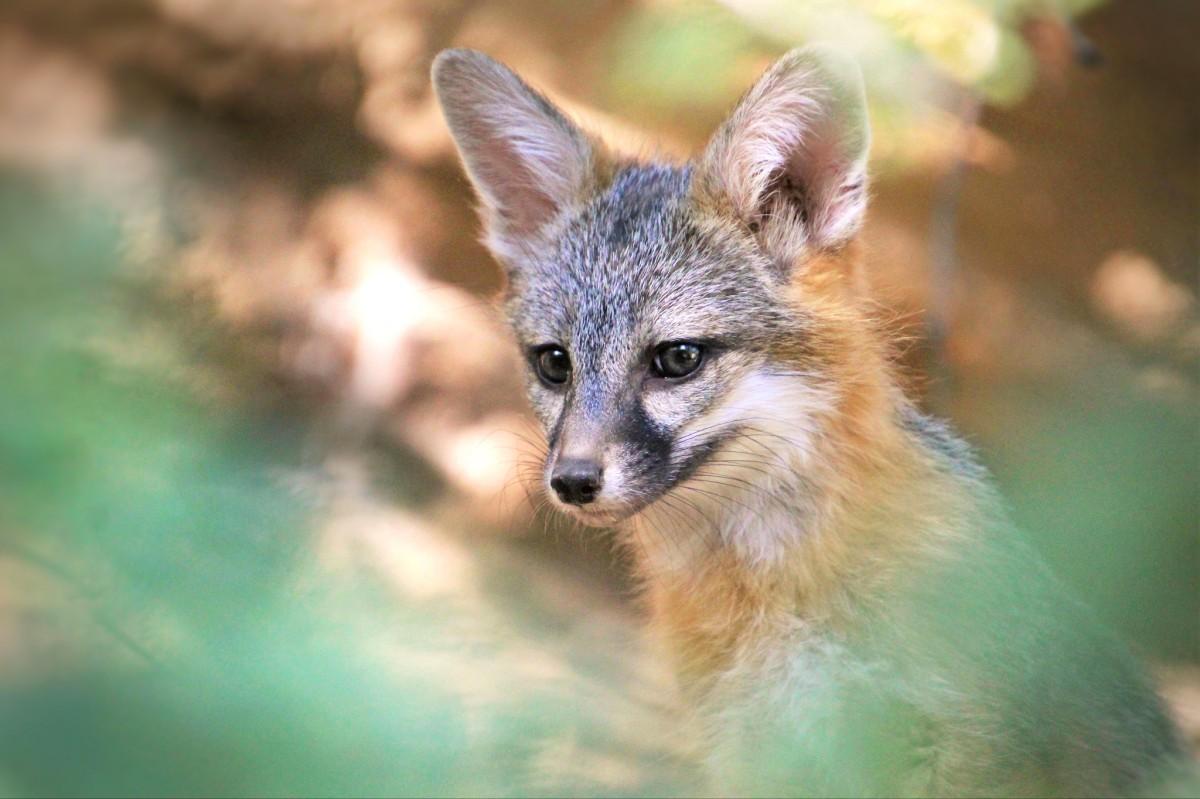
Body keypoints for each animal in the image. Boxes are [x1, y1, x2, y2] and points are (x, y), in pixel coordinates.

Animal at [432, 46, 1180, 791]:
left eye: (677, 358)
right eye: (554, 364)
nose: (573, 481)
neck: (777, 601)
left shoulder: (967, 749)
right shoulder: (753, 755)